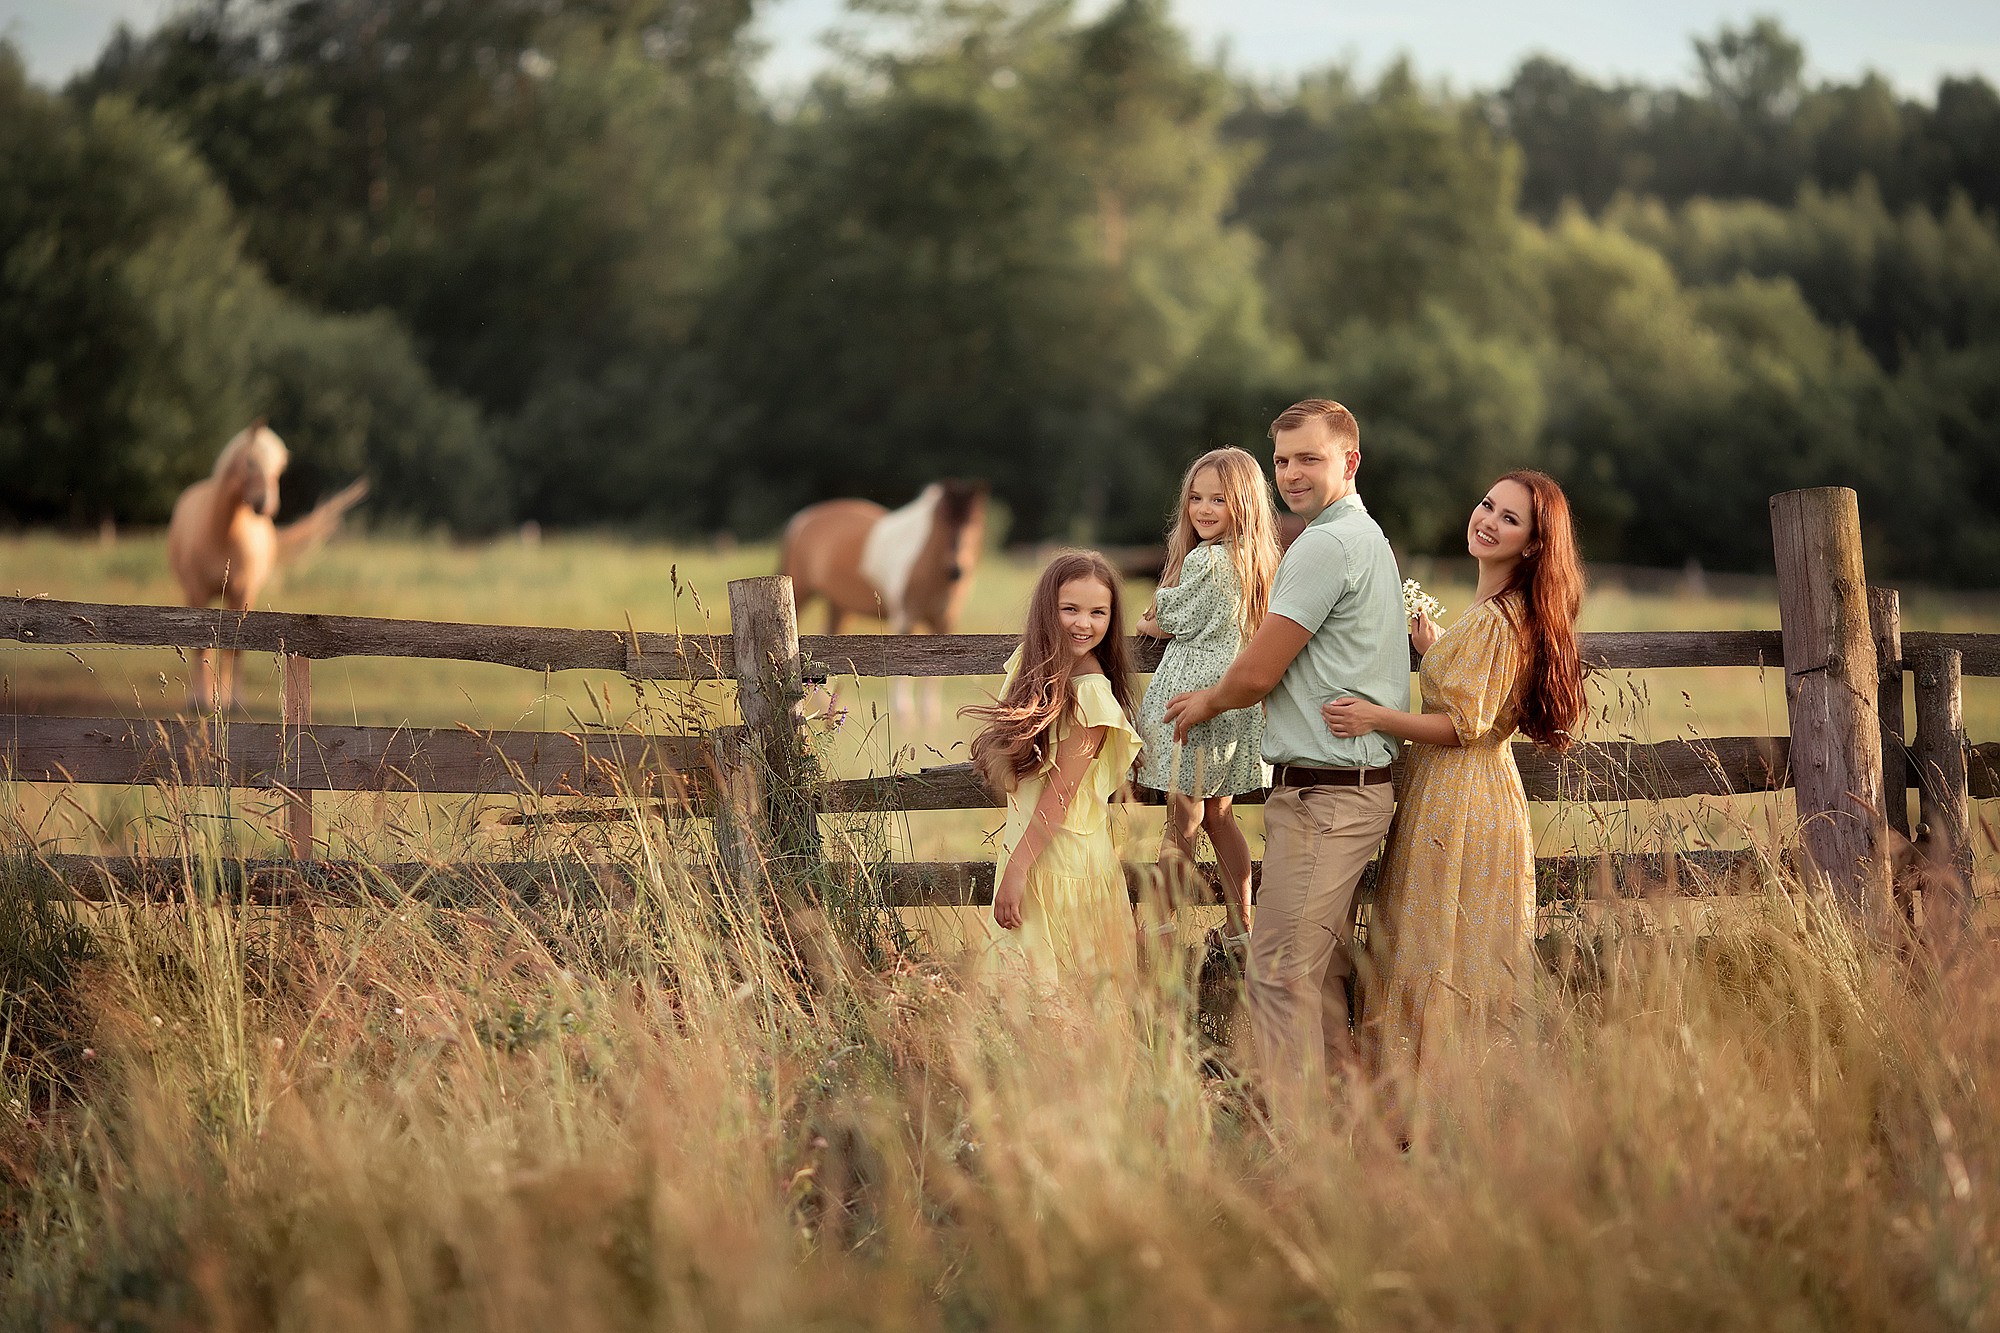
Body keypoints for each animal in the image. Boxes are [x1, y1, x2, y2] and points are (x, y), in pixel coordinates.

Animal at [167, 420, 372, 712]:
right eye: (251, 461)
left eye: (279, 467)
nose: (266, 505)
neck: (222, 532)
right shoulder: (196, 592)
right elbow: (200, 647)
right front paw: (200, 699)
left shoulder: (243, 592)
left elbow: (235, 648)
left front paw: (234, 700)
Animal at [788, 472, 992, 712]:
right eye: (943, 521)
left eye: (974, 522)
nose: (956, 569)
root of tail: (803, 519)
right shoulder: (905, 619)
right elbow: (902, 684)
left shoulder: (945, 623)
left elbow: (932, 687)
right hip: (801, 592)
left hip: (839, 607)